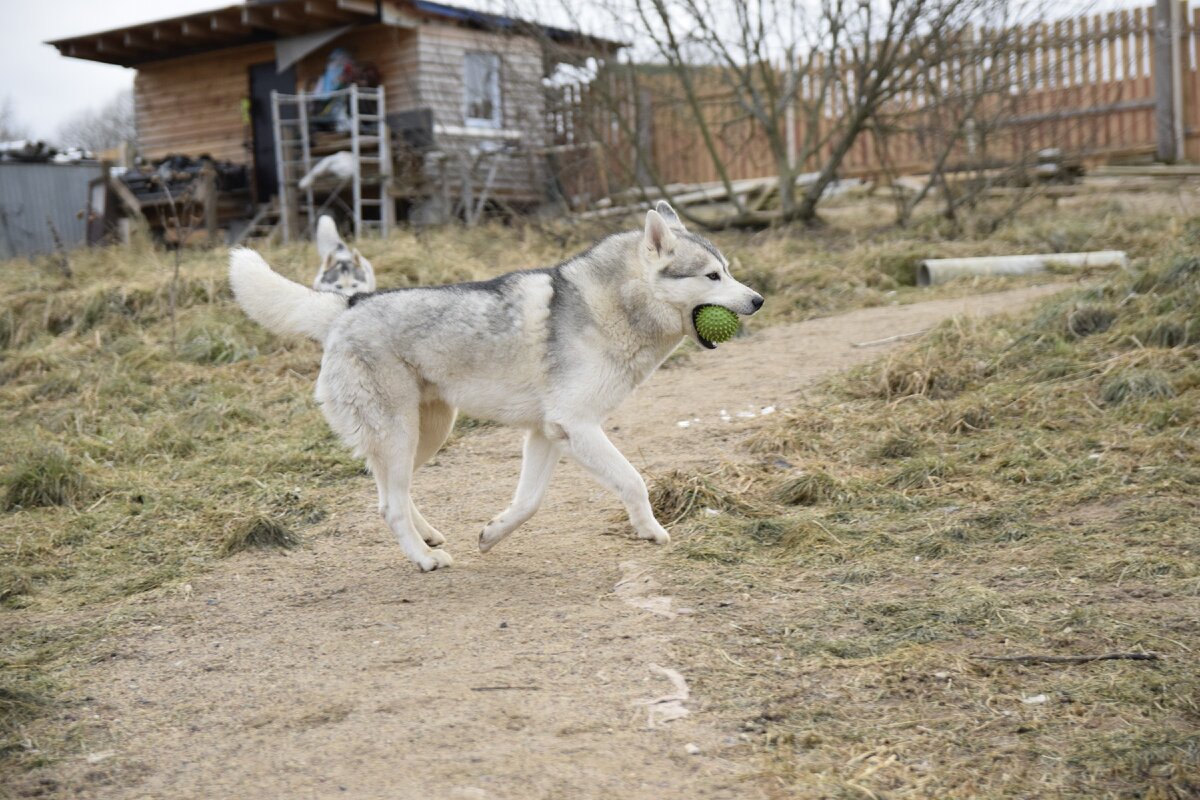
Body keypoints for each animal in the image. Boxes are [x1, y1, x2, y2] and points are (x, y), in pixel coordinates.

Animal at [229, 203, 763, 573]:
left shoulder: (548, 435)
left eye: (730, 271)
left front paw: (491, 535)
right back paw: (424, 559)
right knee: (389, 505)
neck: (613, 307)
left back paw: (430, 537)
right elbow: (633, 481)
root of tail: (346, 305)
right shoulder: (578, 427)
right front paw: (651, 531)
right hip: (401, 434)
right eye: (712, 276)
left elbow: (528, 503)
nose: (758, 299)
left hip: (426, 435)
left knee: (389, 492)